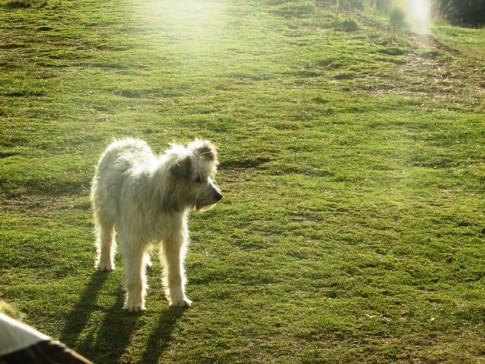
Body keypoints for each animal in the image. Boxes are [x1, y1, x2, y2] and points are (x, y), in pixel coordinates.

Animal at [90, 138, 221, 312]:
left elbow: (176, 273)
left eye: (208, 176)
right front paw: (134, 303)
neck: (160, 198)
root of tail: (124, 140)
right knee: (106, 238)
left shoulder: (173, 239)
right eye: (197, 179)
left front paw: (179, 299)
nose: (219, 196)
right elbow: (135, 276)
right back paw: (105, 262)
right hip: (104, 211)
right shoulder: (134, 240)